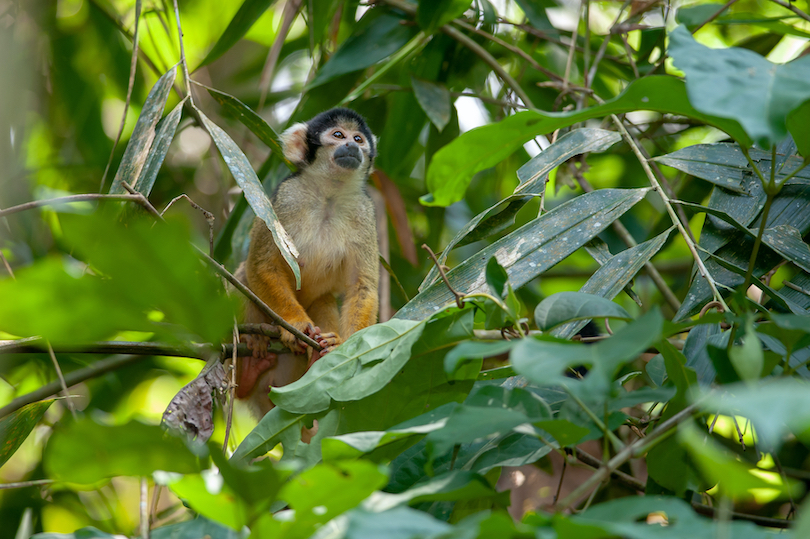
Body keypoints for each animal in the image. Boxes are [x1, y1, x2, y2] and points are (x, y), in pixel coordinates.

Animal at [234, 107, 378, 416]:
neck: (329, 194)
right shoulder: (287, 197)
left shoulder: (364, 211)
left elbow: (362, 286)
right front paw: (297, 326)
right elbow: (262, 264)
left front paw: (348, 350)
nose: (352, 147)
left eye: (358, 139)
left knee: (323, 299)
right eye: (339, 135)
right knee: (242, 277)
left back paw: (318, 356)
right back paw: (247, 369)